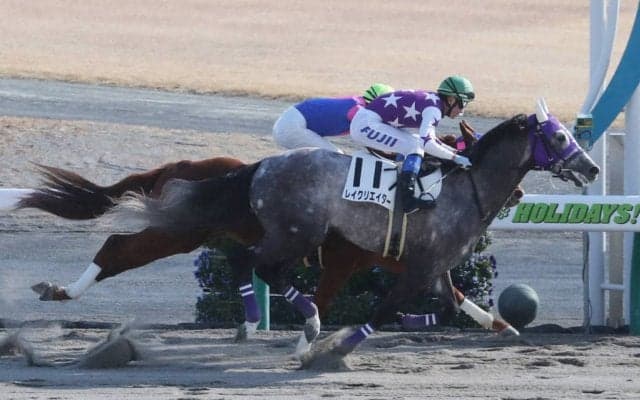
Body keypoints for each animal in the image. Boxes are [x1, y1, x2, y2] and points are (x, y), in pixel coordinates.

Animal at [116, 100, 599, 364]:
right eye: (559, 137)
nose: (592, 168)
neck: (466, 189)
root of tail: (262, 166)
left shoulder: (437, 266)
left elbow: (453, 304)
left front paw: (503, 328)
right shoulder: (415, 267)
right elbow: (385, 310)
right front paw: (335, 347)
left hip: (295, 236)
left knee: (252, 263)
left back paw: (270, 322)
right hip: (299, 233)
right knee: (254, 263)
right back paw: (290, 321)